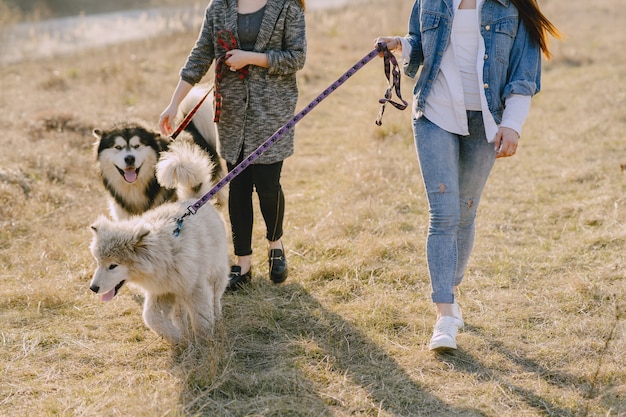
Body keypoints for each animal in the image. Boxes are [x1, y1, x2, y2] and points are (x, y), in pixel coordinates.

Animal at [89, 138, 228, 342]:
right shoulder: (163, 290)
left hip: (217, 272)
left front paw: (205, 343)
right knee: (180, 312)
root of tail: (194, 200)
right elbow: (151, 317)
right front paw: (176, 338)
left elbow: (201, 319)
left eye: (113, 266)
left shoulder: (195, 288)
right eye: (98, 263)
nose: (93, 288)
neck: (164, 256)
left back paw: (217, 318)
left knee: (216, 298)